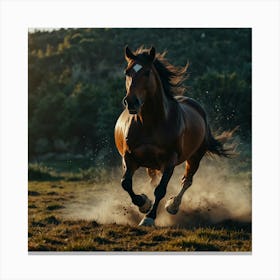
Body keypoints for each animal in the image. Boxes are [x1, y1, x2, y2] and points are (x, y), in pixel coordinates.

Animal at [114, 45, 232, 225]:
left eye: (147, 72)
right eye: (127, 72)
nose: (131, 102)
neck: (150, 123)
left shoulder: (169, 161)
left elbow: (160, 190)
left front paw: (149, 217)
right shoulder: (129, 157)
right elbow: (125, 183)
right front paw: (144, 203)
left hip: (195, 157)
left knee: (187, 181)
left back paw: (173, 205)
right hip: (151, 163)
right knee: (153, 179)